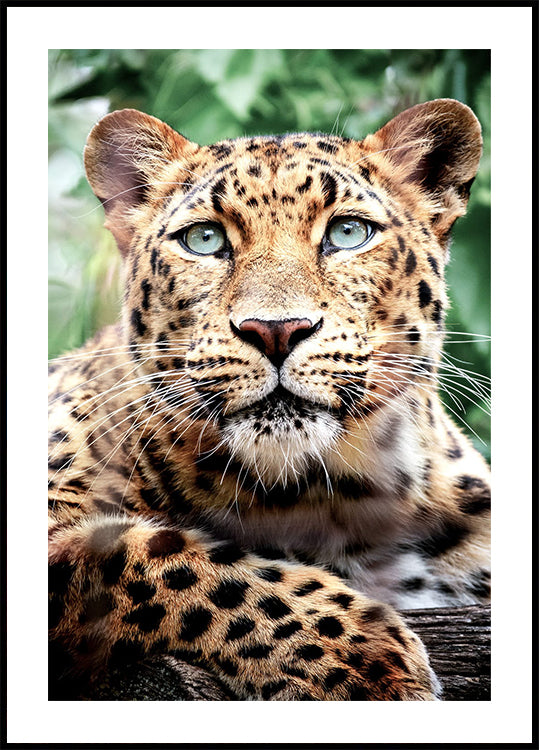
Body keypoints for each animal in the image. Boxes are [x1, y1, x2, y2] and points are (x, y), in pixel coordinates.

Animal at [48, 98, 490, 701]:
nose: (276, 330)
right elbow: (166, 559)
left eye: (348, 232)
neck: (331, 498)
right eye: (204, 240)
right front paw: (361, 660)